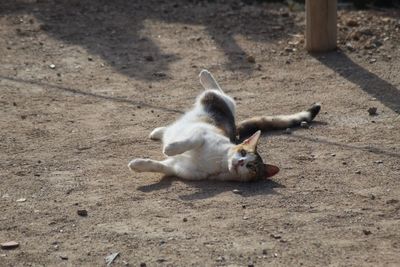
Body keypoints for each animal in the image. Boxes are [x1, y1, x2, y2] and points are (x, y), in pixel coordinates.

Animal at [129, 69, 322, 182]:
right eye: (242, 152)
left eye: (251, 167)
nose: (242, 162)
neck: (219, 160)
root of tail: (234, 125)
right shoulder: (200, 135)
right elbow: (188, 142)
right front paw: (169, 148)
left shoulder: (178, 168)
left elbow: (158, 165)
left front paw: (138, 165)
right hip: (215, 99)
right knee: (218, 91)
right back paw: (205, 75)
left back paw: (160, 132)